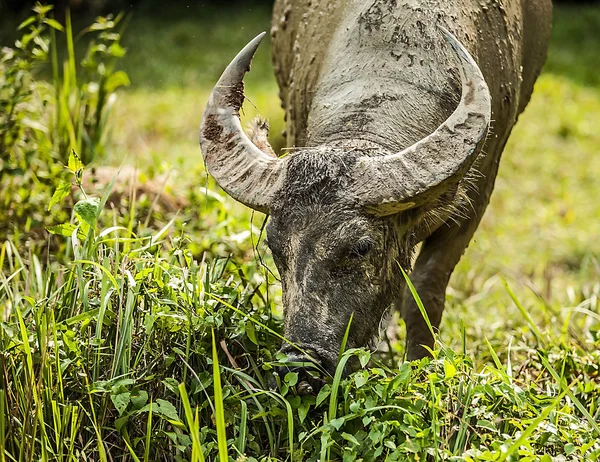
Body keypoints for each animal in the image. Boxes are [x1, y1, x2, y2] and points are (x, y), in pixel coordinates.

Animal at [200, 0, 552, 382]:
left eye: (361, 248)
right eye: (275, 247)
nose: (301, 364)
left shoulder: (477, 194)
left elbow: (424, 291)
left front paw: (418, 367)